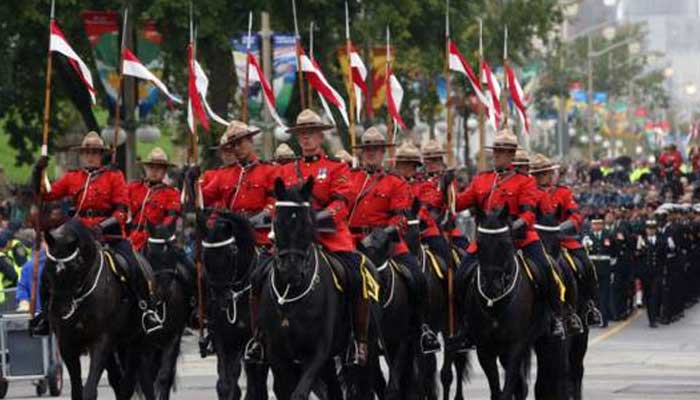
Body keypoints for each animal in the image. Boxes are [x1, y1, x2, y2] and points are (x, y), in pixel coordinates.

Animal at [43, 219, 131, 400]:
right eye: (48, 266)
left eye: (76, 267)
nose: (59, 311)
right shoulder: (67, 344)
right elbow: (77, 390)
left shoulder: (101, 340)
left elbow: (89, 390)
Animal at [200, 208, 270, 398]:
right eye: (205, 255)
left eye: (231, 251)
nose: (221, 300)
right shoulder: (222, 338)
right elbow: (225, 384)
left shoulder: (248, 341)